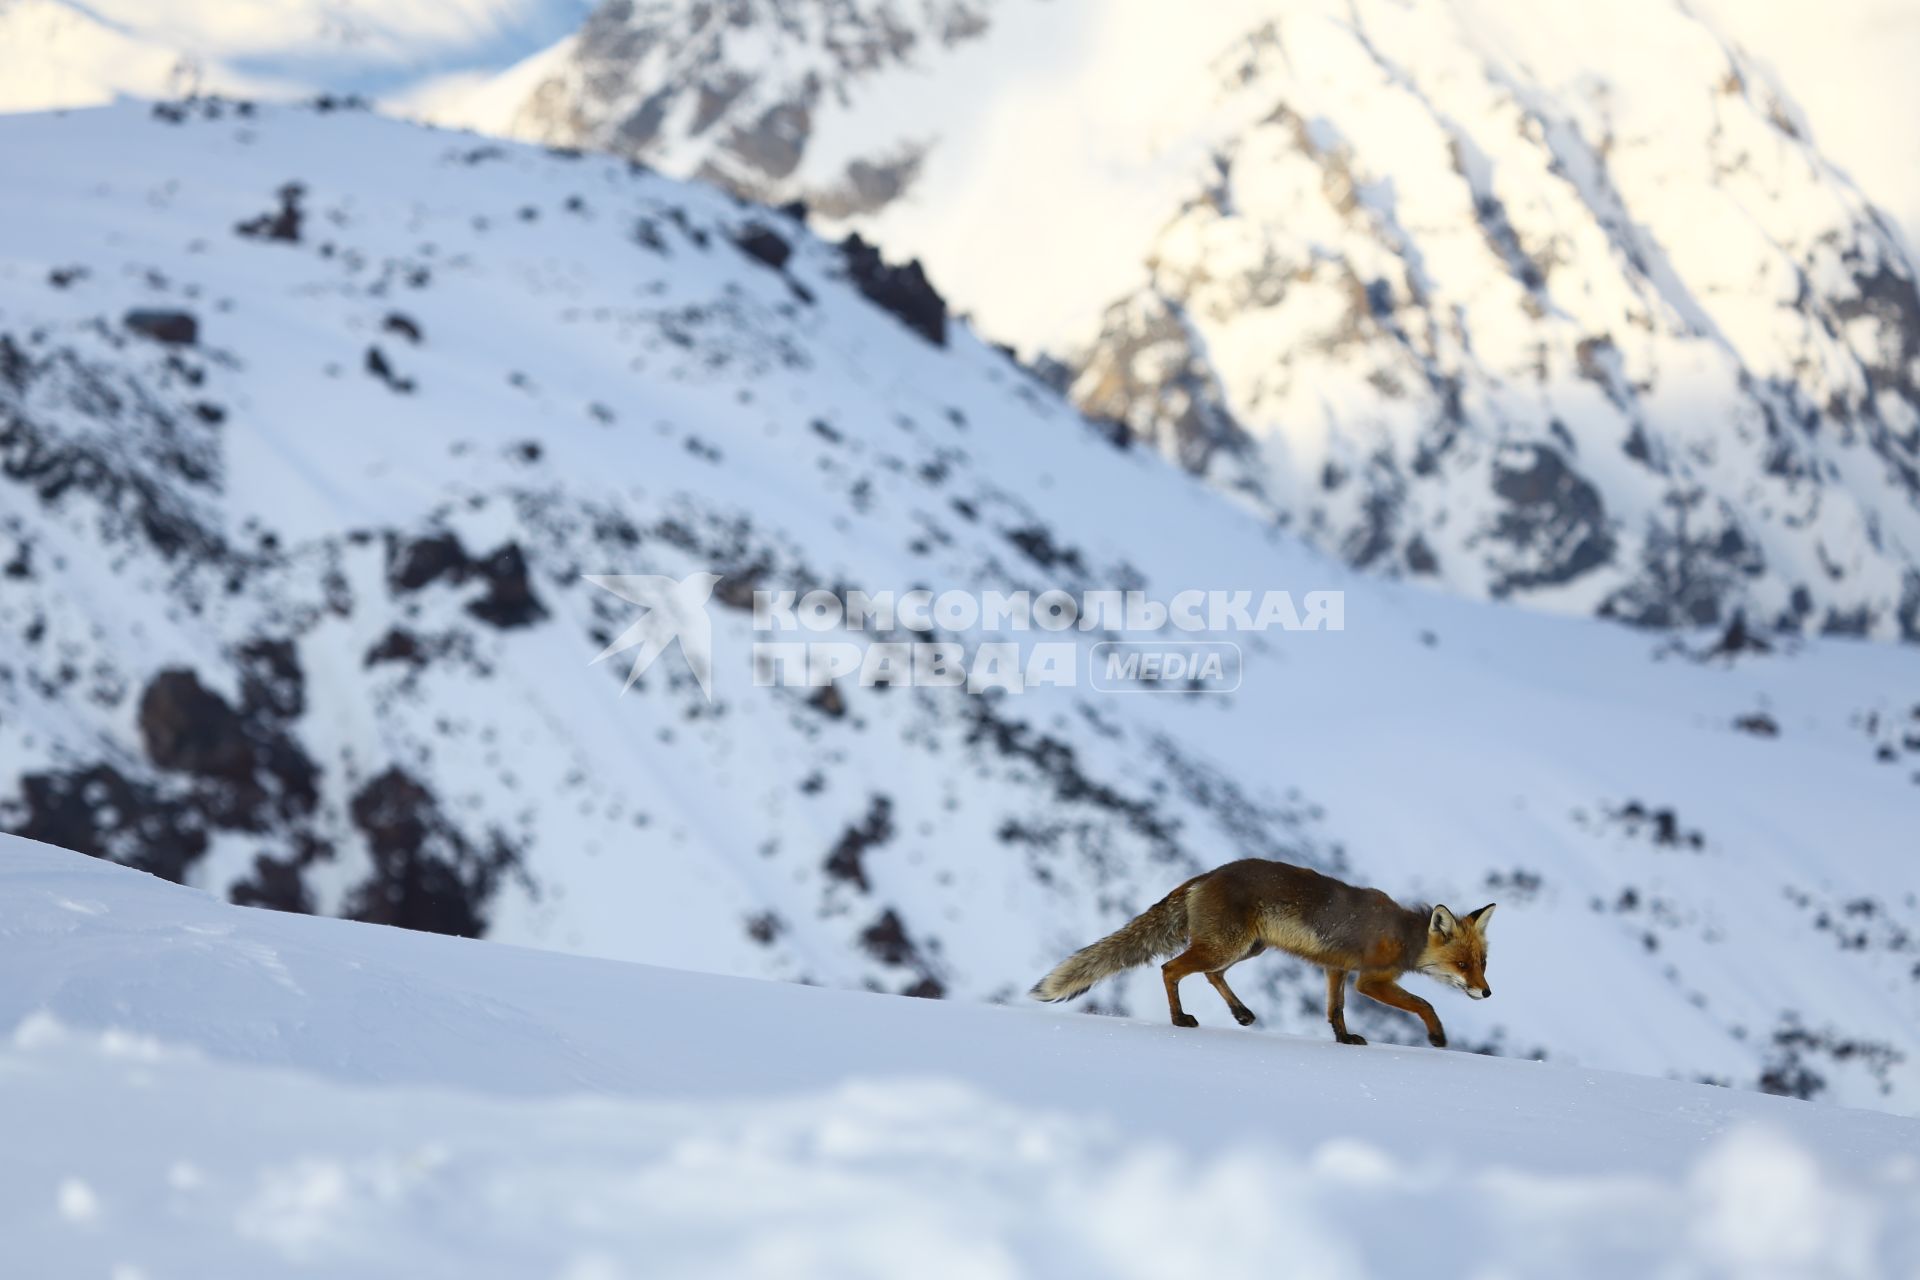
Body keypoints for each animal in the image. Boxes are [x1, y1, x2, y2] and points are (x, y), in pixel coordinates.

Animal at [1029, 855, 1489, 1043]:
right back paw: (1180, 1020)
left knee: (1209, 973)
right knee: (1170, 969)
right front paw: (1437, 1037)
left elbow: (1335, 1011)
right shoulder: (1371, 981)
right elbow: (1426, 1004)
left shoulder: (1336, 969)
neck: (1401, 932)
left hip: (1248, 948)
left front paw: (1344, 1040)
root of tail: (1206, 875)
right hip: (1226, 946)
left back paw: (1242, 1014)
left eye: (1483, 963)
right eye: (1462, 964)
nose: (1487, 993)